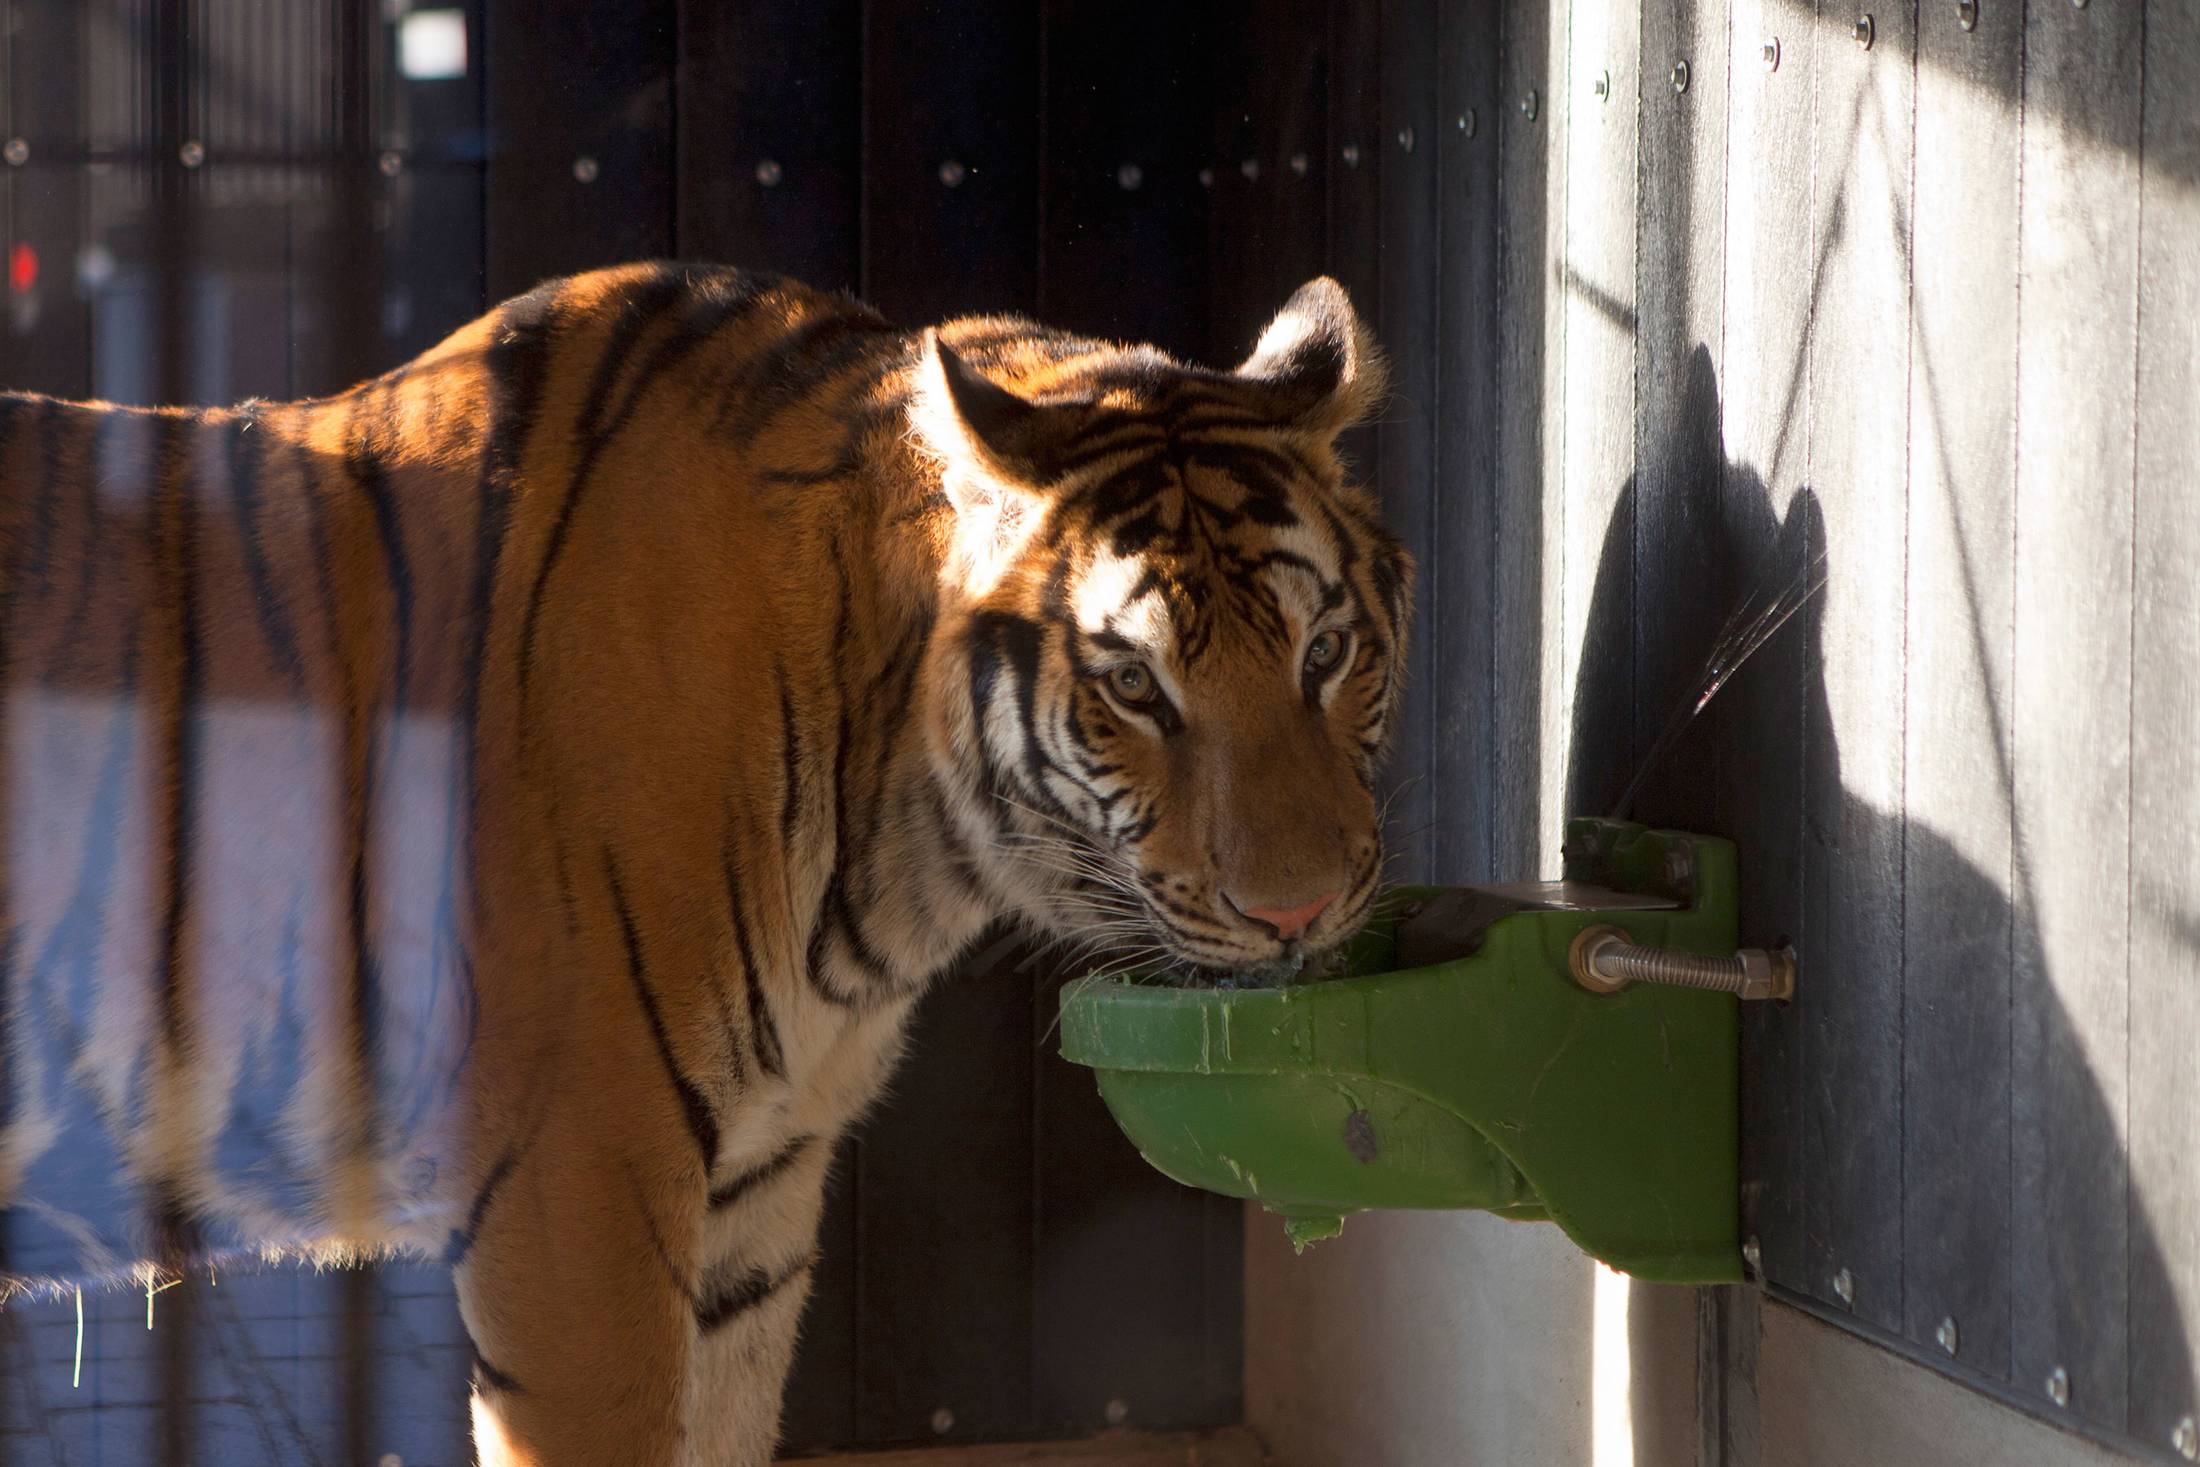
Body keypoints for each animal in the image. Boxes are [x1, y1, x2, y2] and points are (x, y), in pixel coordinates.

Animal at [0, 267, 1408, 1467]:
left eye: (1326, 652)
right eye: (1133, 687)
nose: (1295, 911)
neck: (903, 846)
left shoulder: (757, 1191)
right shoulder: (577, 1193)